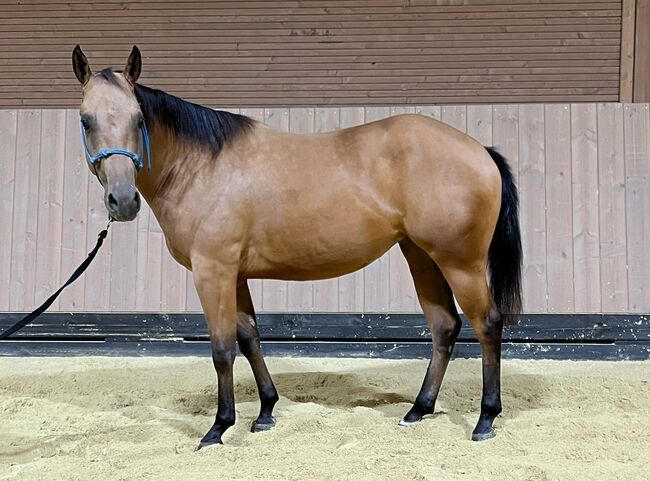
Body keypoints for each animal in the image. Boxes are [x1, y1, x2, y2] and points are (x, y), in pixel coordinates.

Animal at [71, 45, 520, 446]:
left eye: (138, 118)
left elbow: (222, 348)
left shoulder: (213, 271)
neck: (202, 167)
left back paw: (485, 419)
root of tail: (481, 151)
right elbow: (249, 337)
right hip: (422, 256)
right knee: (445, 325)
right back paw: (418, 409)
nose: (122, 201)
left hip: (460, 262)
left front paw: (218, 428)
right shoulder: (235, 275)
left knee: (487, 324)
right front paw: (266, 412)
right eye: (86, 120)